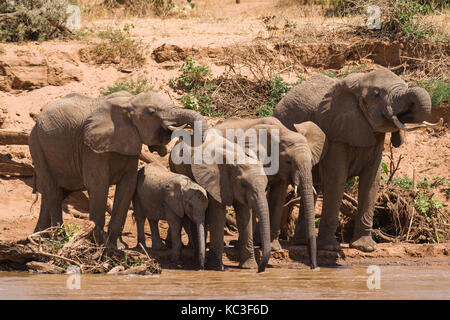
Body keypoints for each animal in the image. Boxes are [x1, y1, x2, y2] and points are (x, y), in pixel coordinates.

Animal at [30, 90, 207, 248]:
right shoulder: (91, 148)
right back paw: (57, 239)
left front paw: (114, 247)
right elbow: (98, 186)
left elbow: (127, 188)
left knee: (55, 193)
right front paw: (96, 245)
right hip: (37, 146)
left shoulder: (131, 142)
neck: (129, 103)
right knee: (53, 191)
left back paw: (38, 237)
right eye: (152, 112)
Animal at [171, 131, 270, 272]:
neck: (235, 158)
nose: (260, 270)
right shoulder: (215, 181)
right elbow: (218, 214)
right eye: (244, 184)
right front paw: (216, 268)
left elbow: (244, 216)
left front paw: (249, 267)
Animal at [213, 116, 326, 268]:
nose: (314, 267)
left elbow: (278, 196)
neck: (282, 132)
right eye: (288, 161)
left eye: (311, 160)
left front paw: (274, 248)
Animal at [272, 69, 442, 252]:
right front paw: (330, 248)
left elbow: (371, 181)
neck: (359, 82)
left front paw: (366, 247)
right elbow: (337, 180)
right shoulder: (335, 133)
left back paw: (302, 243)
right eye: (377, 94)